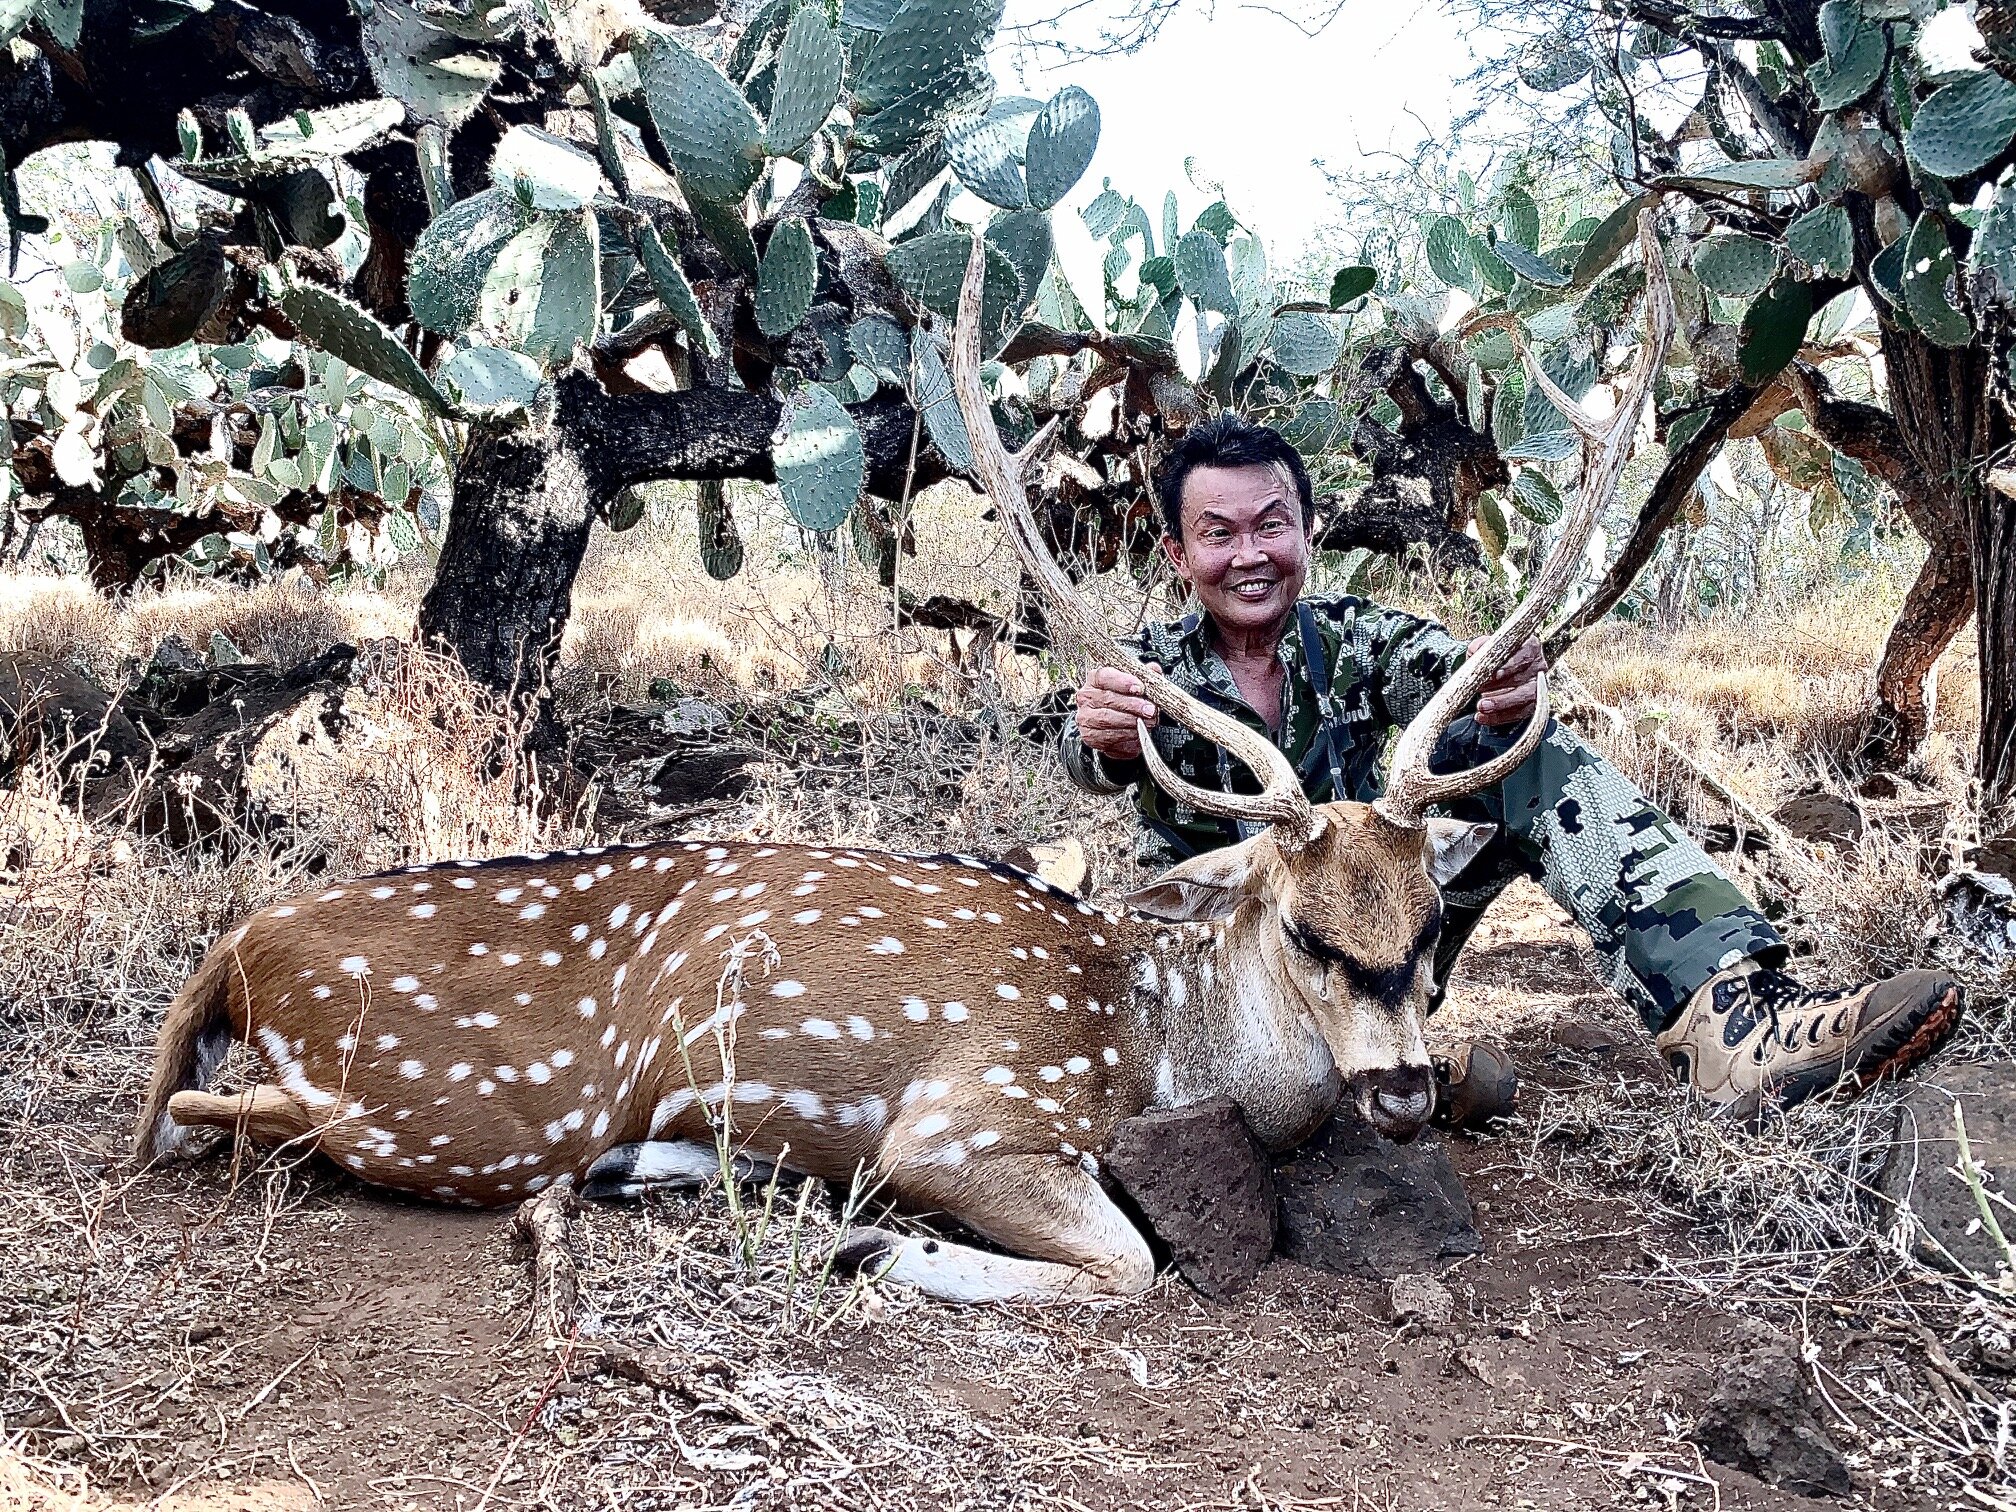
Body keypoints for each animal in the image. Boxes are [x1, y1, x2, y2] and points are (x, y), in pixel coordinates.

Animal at [134, 216, 1674, 1305]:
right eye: (1304, 929)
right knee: (219, 1114)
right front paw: (874, 1248)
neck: (1152, 1042)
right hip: (471, 1106)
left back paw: (670, 1167)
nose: (1404, 1090)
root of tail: (238, 947)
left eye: (1427, 921)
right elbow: (1130, 1264)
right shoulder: (970, 1115)